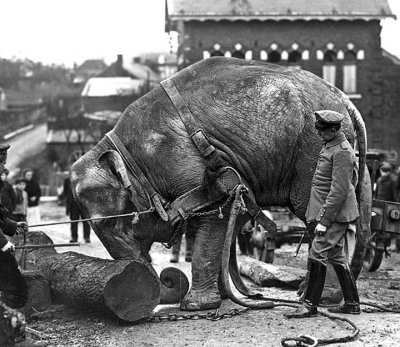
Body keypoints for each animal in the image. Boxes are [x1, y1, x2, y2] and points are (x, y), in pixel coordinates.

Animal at [71, 57, 372, 312]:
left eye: (109, 222)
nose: (165, 279)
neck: (124, 151)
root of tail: (346, 101)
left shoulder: (188, 163)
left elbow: (217, 214)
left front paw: (195, 306)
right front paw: (223, 299)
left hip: (312, 152)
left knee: (317, 215)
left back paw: (319, 298)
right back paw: (306, 293)